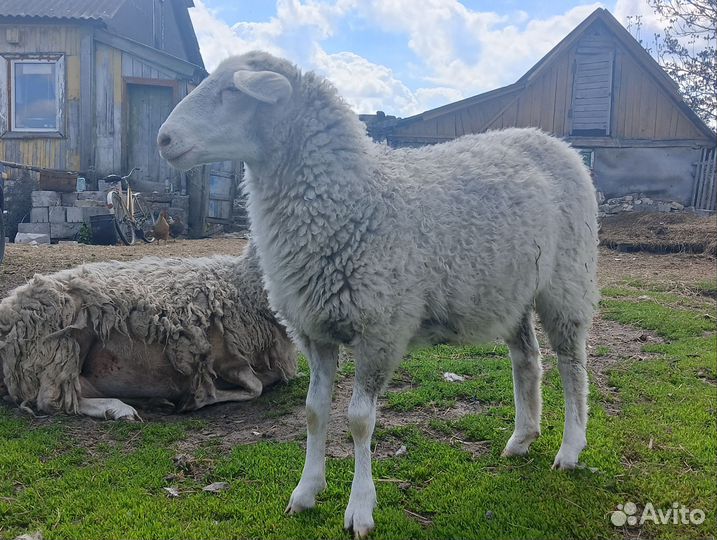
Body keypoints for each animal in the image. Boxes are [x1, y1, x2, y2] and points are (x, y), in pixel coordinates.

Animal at [0, 244, 297, 420]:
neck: (241, 284)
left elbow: (272, 377)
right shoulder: (225, 358)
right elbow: (256, 386)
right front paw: (196, 400)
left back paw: (150, 401)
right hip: (61, 341)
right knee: (53, 399)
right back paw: (119, 408)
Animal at [157, 51, 599, 537]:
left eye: (233, 91)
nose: (163, 139)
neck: (353, 198)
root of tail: (554, 142)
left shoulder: (380, 330)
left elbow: (359, 420)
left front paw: (360, 507)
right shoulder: (314, 331)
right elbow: (314, 412)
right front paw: (306, 492)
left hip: (567, 281)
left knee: (572, 365)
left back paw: (571, 448)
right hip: (511, 290)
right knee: (528, 360)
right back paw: (522, 438)